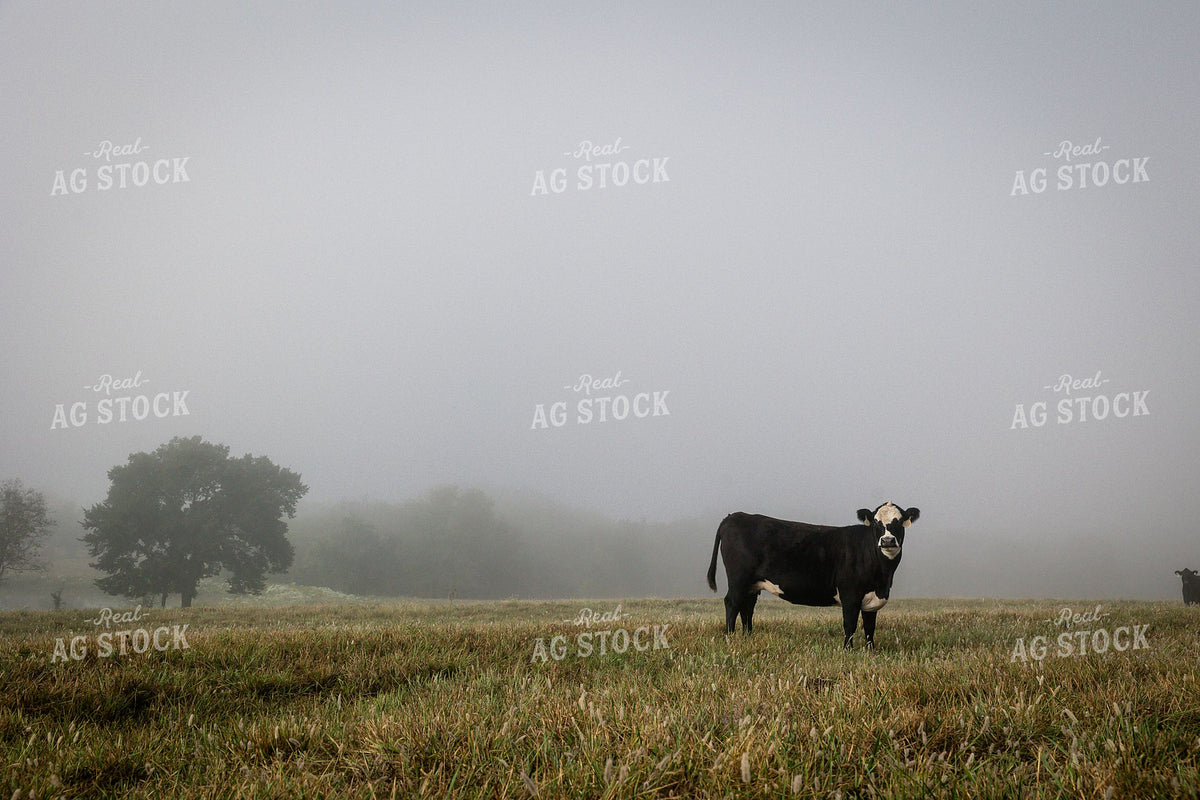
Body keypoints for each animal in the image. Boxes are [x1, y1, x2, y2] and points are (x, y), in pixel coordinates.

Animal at [706, 502, 920, 648]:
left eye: (900, 522)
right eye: (876, 523)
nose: (887, 540)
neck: (882, 577)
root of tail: (734, 516)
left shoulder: (872, 596)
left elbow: (870, 627)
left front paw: (870, 650)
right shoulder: (850, 594)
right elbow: (850, 624)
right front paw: (848, 650)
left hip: (752, 583)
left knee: (747, 607)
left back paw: (747, 637)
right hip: (738, 579)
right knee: (732, 603)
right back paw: (730, 638)